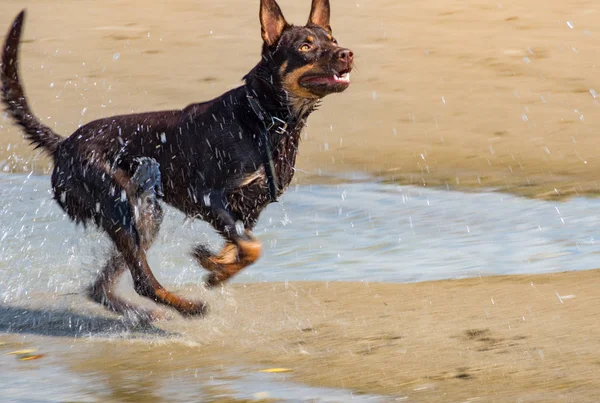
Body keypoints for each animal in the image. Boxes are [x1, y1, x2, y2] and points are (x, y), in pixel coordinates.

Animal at [0, 0, 352, 322]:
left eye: (332, 40)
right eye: (305, 46)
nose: (346, 53)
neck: (264, 120)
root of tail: (63, 146)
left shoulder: (250, 210)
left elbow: (241, 247)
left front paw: (214, 266)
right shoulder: (206, 197)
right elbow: (251, 248)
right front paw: (213, 266)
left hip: (144, 216)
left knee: (101, 287)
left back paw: (144, 315)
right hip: (120, 206)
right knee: (142, 281)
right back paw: (186, 308)